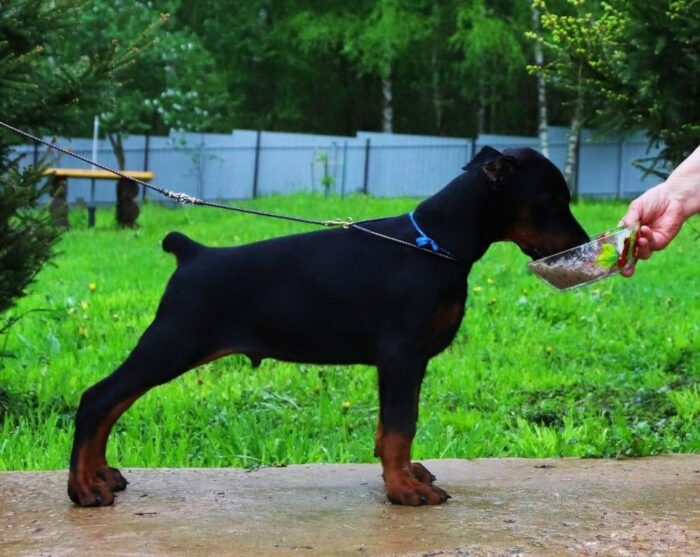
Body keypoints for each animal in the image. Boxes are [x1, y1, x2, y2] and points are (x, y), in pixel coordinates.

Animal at [67, 146, 589, 507]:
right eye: (553, 199)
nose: (583, 242)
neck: (435, 242)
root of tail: (192, 253)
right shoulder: (402, 354)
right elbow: (400, 425)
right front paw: (403, 491)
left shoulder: (407, 361)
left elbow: (393, 427)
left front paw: (405, 476)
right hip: (174, 341)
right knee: (99, 398)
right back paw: (83, 488)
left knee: (112, 403)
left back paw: (101, 475)